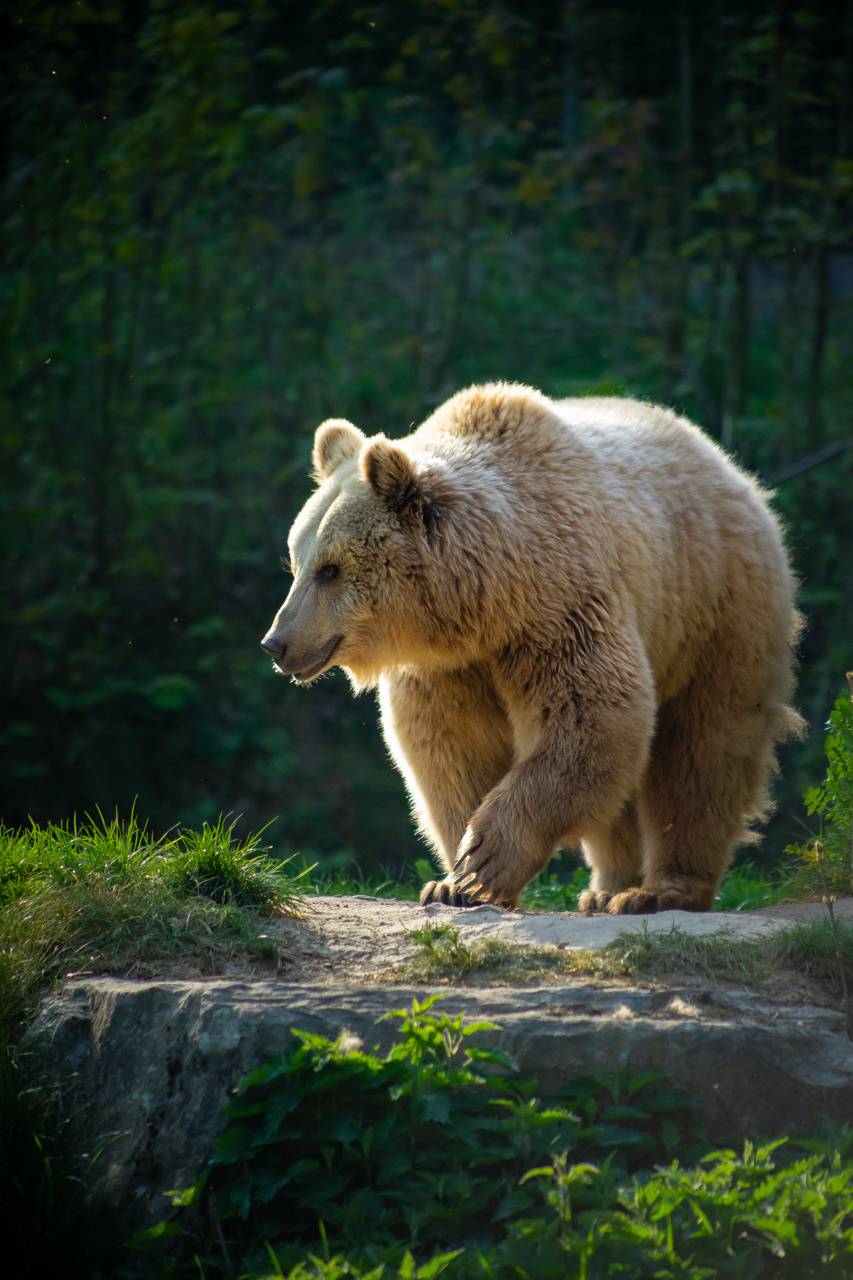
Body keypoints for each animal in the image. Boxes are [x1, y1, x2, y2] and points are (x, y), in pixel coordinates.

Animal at [261, 383, 803, 913]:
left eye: (331, 569)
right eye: (296, 561)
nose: (277, 643)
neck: (481, 604)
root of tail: (731, 468)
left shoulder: (558, 612)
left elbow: (591, 719)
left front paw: (484, 861)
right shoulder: (448, 668)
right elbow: (451, 749)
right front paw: (451, 882)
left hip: (713, 608)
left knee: (703, 752)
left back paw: (659, 891)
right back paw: (606, 887)